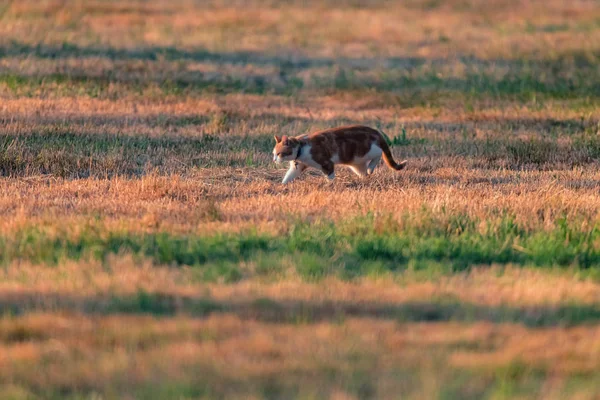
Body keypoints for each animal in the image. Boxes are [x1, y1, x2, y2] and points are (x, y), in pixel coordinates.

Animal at [274, 124, 408, 184]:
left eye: (279, 154)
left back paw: (371, 168)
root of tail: (375, 131)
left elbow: (330, 176)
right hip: (356, 163)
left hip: (365, 151)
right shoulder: (298, 166)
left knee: (379, 153)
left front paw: (330, 185)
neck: (301, 148)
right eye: (274, 154)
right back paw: (364, 179)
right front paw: (283, 185)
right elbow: (289, 176)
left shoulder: (326, 163)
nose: (274, 160)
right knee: (363, 172)